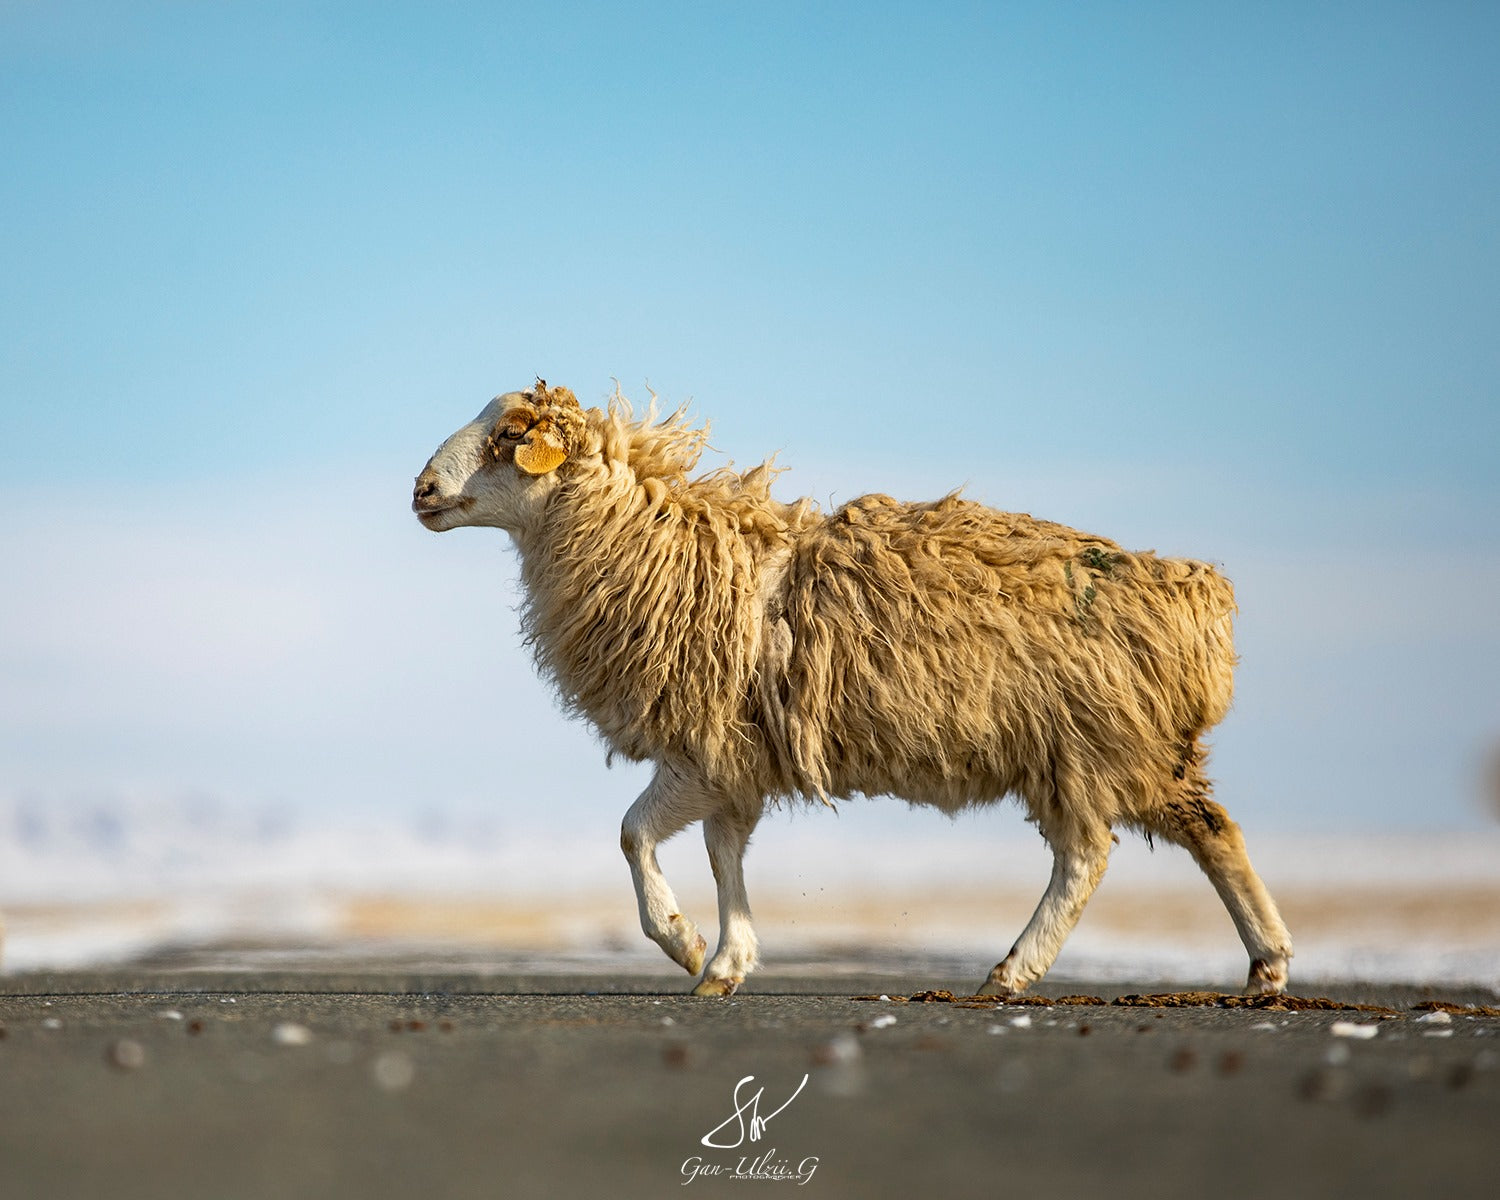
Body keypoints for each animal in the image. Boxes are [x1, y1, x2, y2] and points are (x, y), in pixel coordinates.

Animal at [412, 380, 1293, 998]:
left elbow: (632, 836)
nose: (419, 491)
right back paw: (1268, 966)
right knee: (1211, 829)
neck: (660, 548)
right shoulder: (736, 760)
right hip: (1132, 748)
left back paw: (1011, 973)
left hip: (1087, 743)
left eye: (509, 437)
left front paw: (684, 942)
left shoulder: (704, 750)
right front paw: (729, 959)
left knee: (1088, 857)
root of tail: (1193, 596)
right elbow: (722, 853)